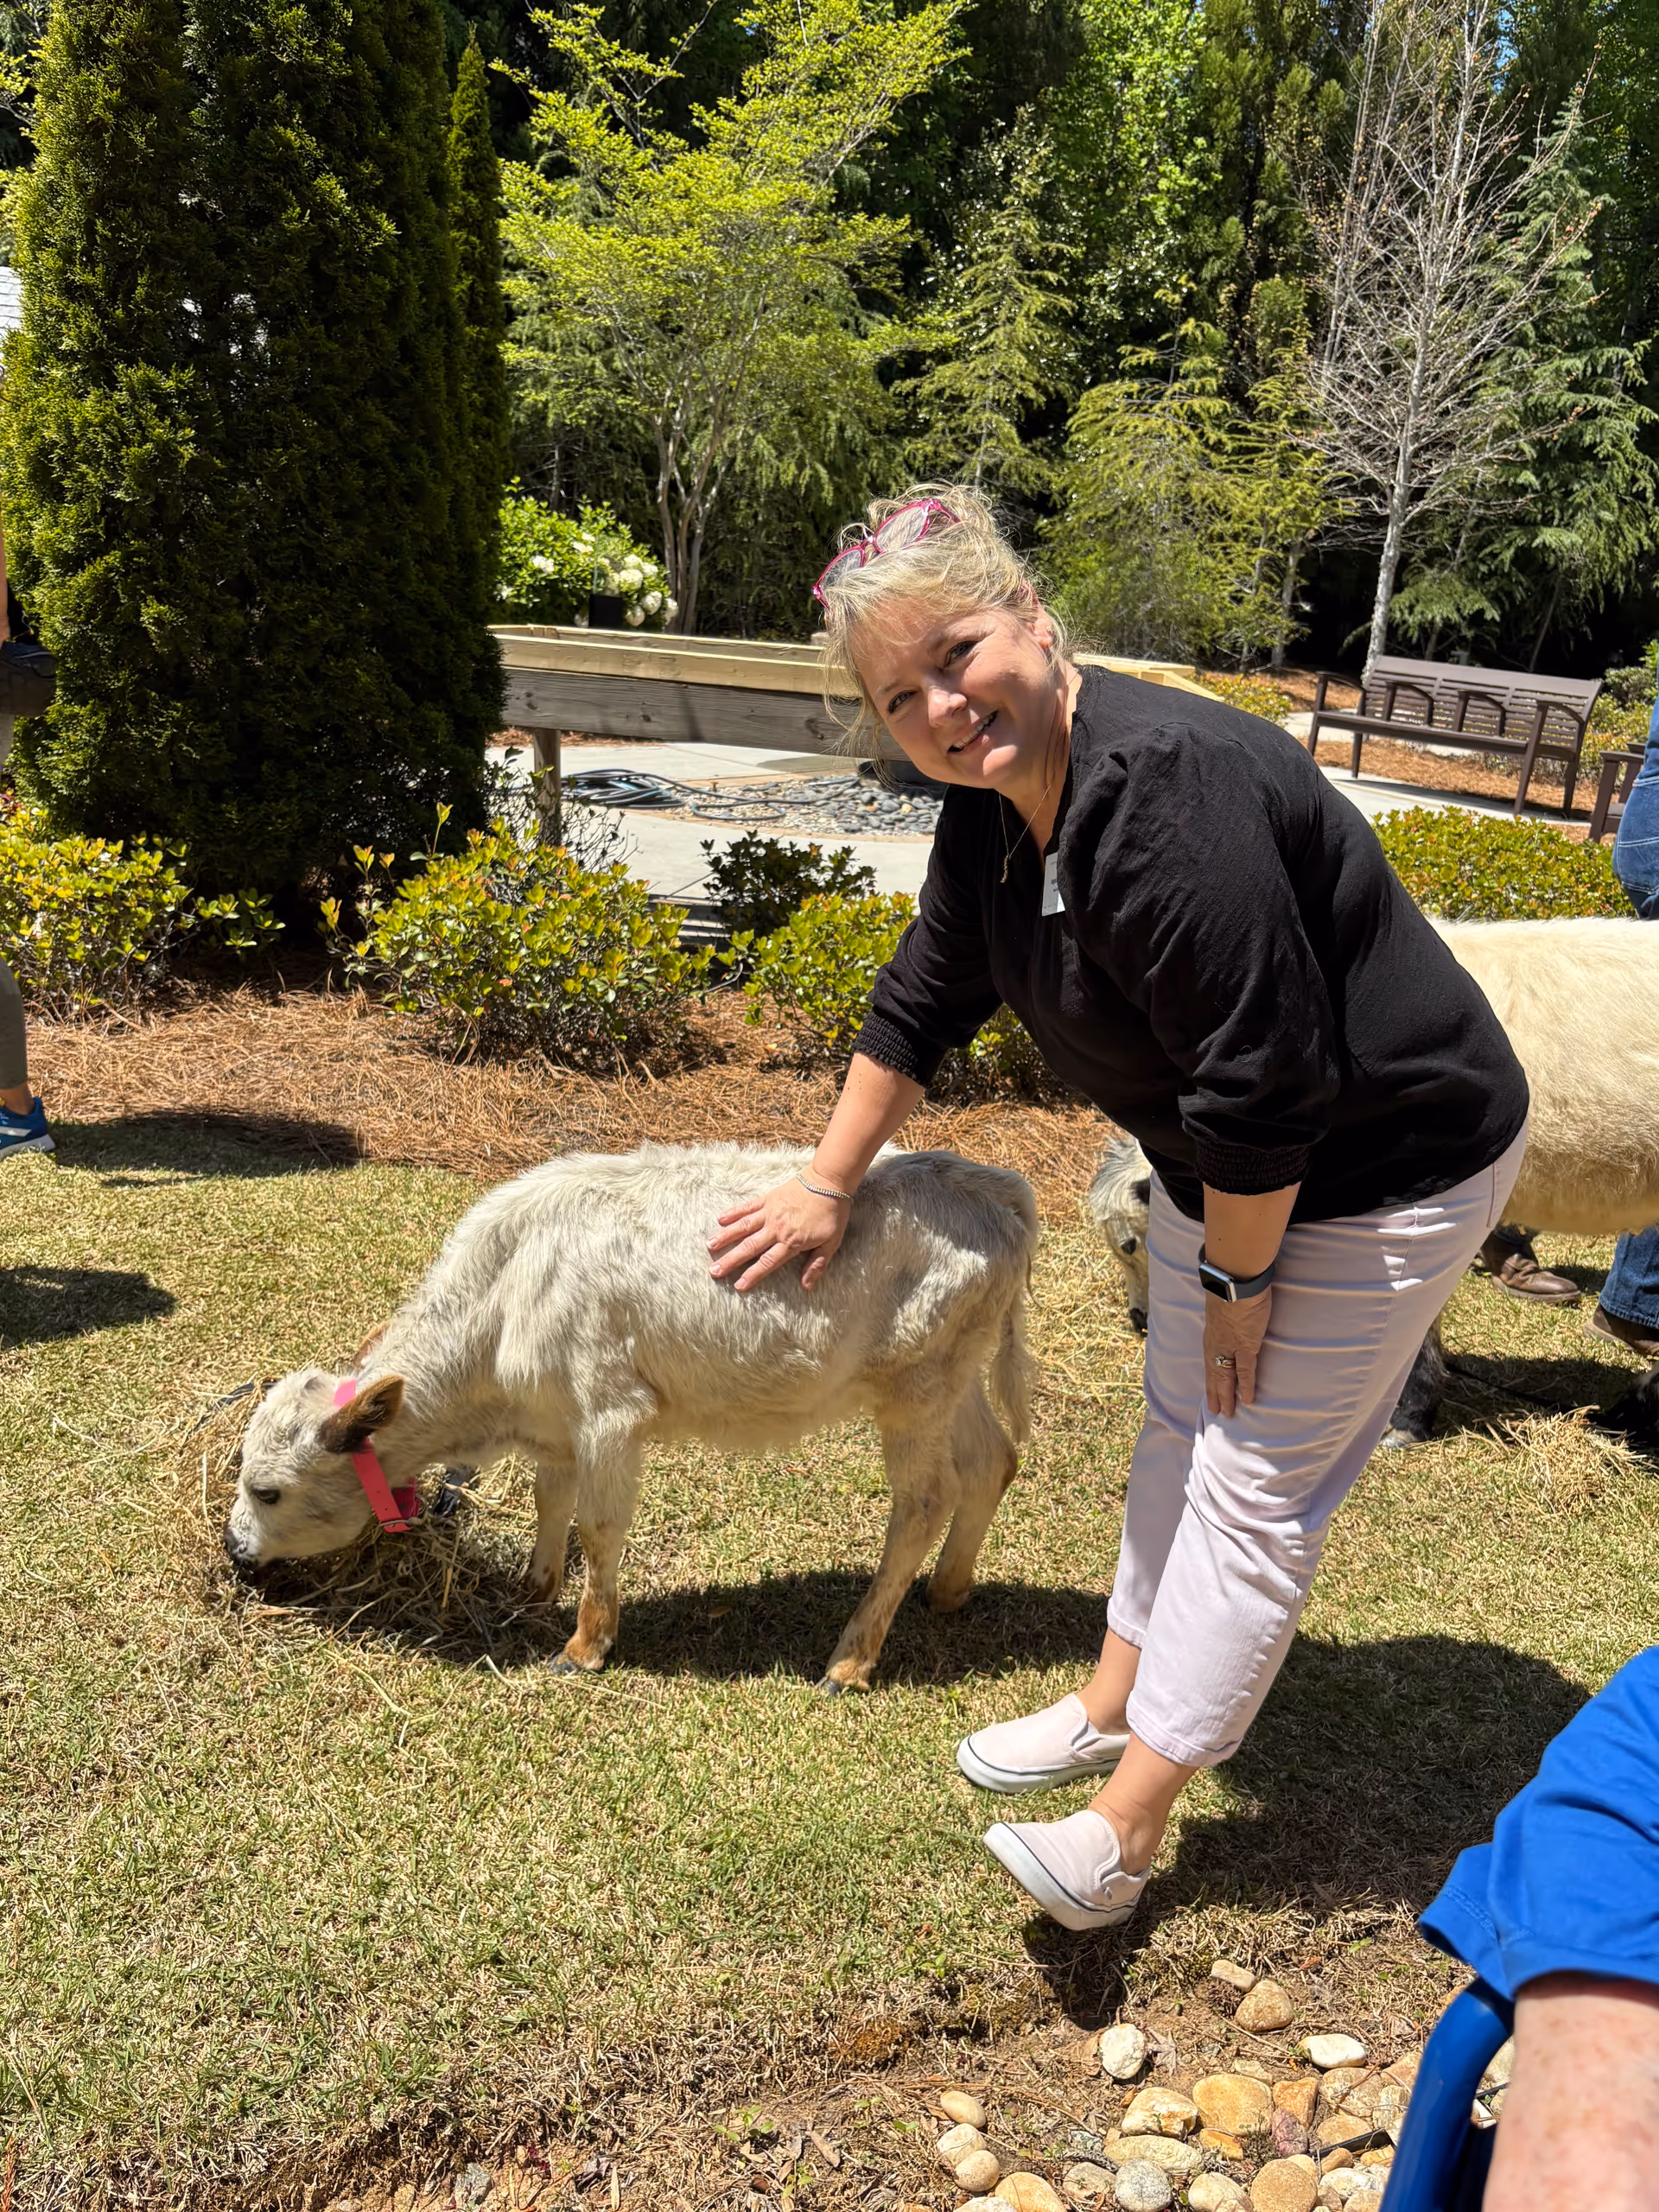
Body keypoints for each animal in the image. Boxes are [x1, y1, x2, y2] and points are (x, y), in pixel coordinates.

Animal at [224, 1143, 1039, 1692]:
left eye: (267, 1490)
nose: (233, 1551)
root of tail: (992, 1186)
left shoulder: (610, 1412)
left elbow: (598, 1525)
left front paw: (586, 1644)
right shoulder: (555, 1423)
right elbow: (550, 1499)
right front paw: (534, 1588)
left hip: (915, 1389)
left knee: (924, 1501)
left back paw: (853, 1657)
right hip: (953, 1379)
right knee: (991, 1461)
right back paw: (948, 1589)